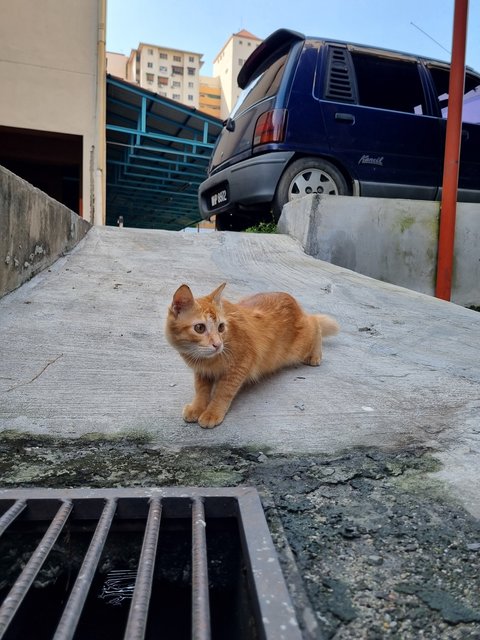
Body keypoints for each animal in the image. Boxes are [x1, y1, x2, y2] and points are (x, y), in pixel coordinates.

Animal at [167, 282, 340, 428]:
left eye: (221, 327)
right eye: (200, 328)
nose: (218, 344)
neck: (206, 360)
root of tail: (292, 300)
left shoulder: (239, 365)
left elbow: (223, 392)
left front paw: (212, 412)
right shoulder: (202, 371)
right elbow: (201, 390)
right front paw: (197, 408)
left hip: (299, 346)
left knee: (315, 322)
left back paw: (315, 355)